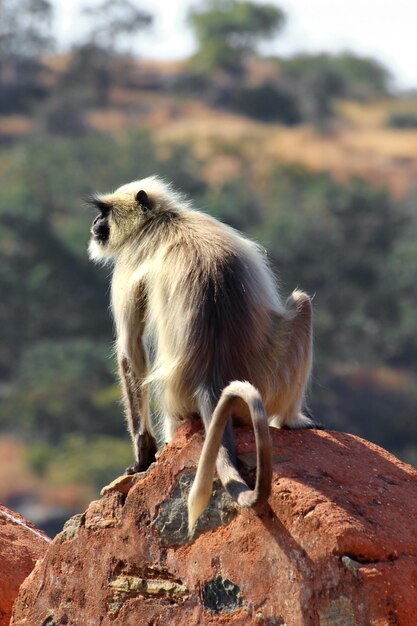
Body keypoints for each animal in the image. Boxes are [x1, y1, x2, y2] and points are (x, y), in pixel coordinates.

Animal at [89, 177, 314, 532]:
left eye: (104, 212)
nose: (95, 224)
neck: (165, 221)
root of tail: (211, 377)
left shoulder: (127, 264)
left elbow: (129, 349)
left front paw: (142, 456)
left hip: (183, 404)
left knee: (302, 302)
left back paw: (290, 421)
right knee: (303, 303)